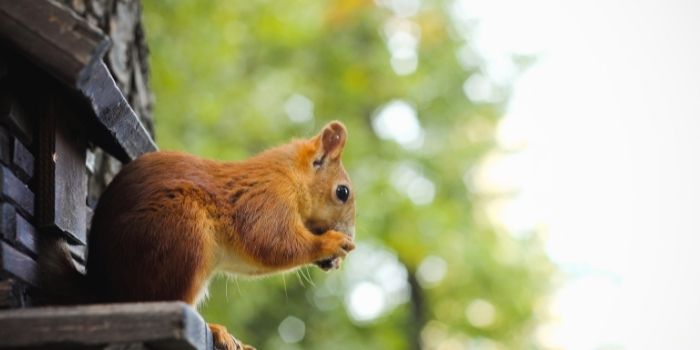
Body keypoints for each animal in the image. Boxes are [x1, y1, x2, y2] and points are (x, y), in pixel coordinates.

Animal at [45, 121, 356, 350]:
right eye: (342, 192)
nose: (350, 235)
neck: (290, 174)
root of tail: (103, 290)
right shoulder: (267, 199)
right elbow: (271, 242)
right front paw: (331, 243)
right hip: (180, 232)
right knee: (169, 299)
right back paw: (216, 330)